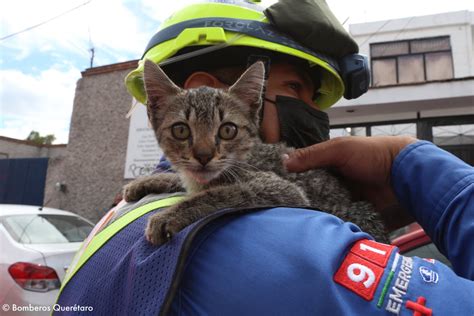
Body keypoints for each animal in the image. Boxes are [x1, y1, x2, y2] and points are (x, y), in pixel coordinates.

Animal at [124, 60, 386, 246]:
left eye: (227, 130)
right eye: (181, 130)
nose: (204, 155)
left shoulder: (285, 190)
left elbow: (222, 194)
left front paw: (169, 216)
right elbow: (185, 179)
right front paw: (145, 182)